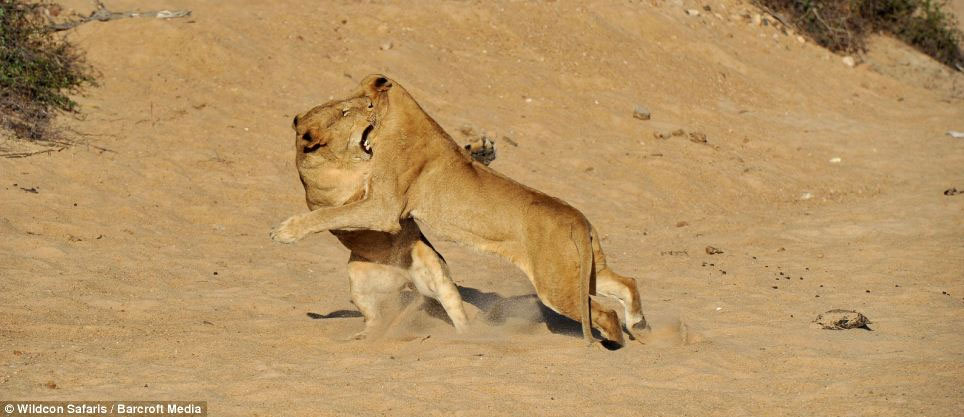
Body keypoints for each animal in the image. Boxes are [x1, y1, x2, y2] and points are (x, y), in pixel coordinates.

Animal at [272, 75, 647, 347]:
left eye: (350, 106)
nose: (362, 104)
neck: (406, 117)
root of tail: (579, 218)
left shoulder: (384, 209)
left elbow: (326, 214)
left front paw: (284, 231)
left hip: (555, 286)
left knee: (604, 312)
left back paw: (612, 342)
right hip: (578, 273)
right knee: (626, 283)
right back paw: (637, 324)